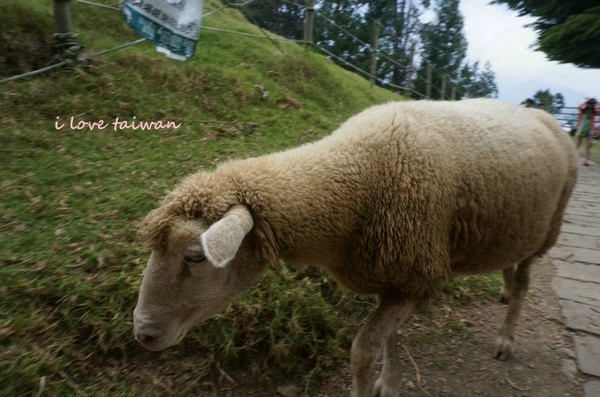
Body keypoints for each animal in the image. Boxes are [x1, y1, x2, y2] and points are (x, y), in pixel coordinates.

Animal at [135, 96, 576, 396]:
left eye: (195, 256)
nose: (143, 334)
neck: (353, 177)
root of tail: (541, 114)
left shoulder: (417, 276)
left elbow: (363, 351)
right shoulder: (394, 276)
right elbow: (389, 341)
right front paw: (390, 382)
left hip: (549, 227)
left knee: (524, 283)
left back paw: (506, 337)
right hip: (515, 228)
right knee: (510, 264)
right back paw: (503, 290)